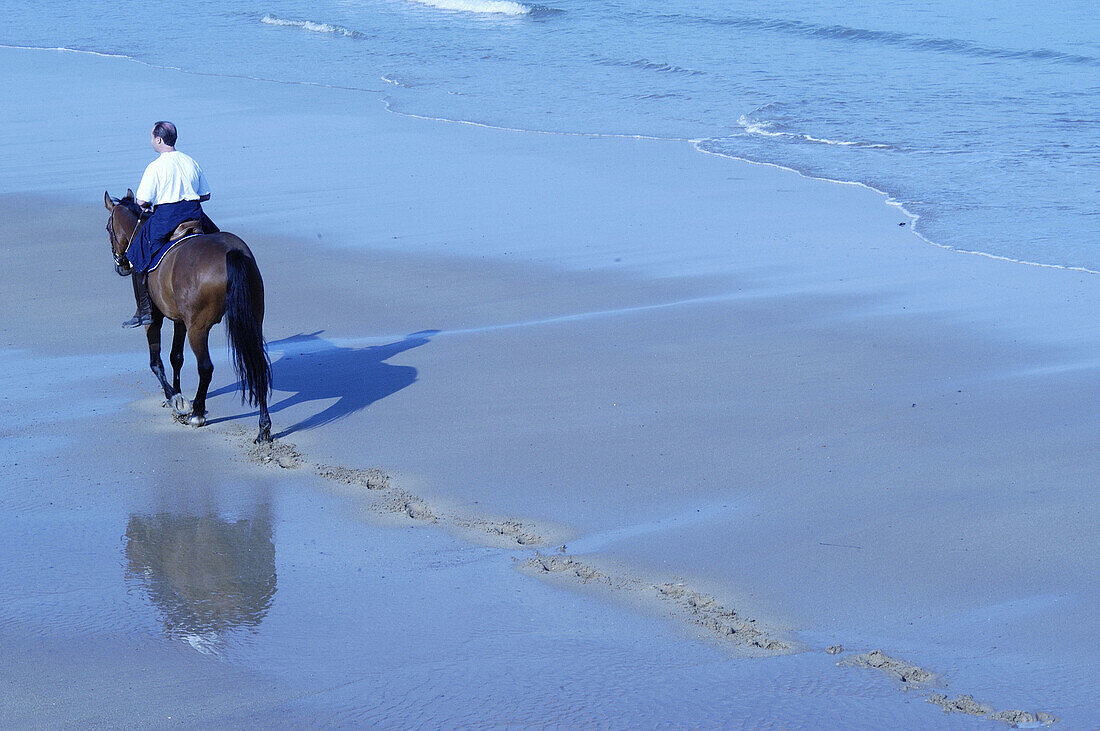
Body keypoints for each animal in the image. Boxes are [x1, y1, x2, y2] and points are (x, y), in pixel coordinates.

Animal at [103, 187, 272, 441]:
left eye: (108, 228)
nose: (120, 266)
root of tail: (231, 252)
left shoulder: (155, 321)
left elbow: (156, 361)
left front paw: (175, 398)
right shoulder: (180, 321)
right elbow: (176, 357)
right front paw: (177, 393)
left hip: (198, 329)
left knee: (206, 367)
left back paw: (197, 414)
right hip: (252, 320)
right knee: (257, 363)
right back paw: (263, 428)